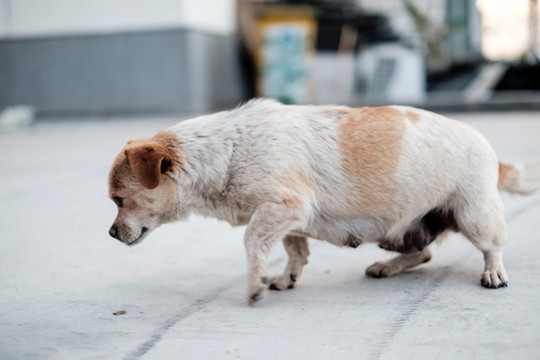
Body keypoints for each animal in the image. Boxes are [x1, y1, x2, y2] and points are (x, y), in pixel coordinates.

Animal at [108, 98, 540, 304]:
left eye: (118, 200)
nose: (111, 234)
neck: (226, 151)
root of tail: (490, 150)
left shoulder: (283, 209)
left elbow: (252, 242)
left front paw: (254, 284)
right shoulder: (288, 220)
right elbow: (295, 252)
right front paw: (284, 278)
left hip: (475, 215)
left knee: (491, 247)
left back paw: (493, 273)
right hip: (400, 232)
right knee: (423, 252)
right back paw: (386, 266)